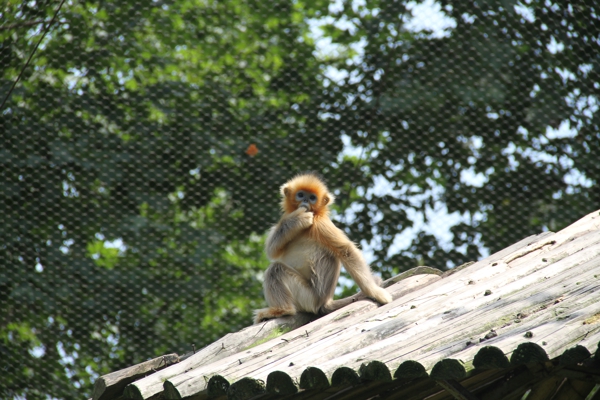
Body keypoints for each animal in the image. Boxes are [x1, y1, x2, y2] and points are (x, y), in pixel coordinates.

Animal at [254, 173, 392, 324]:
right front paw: (296, 219)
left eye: (312, 197)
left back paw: (282, 310)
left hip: (309, 298)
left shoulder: (320, 223)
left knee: (275, 270)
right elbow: (273, 250)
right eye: (301, 195)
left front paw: (374, 292)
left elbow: (346, 250)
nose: (306, 200)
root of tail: (325, 302)